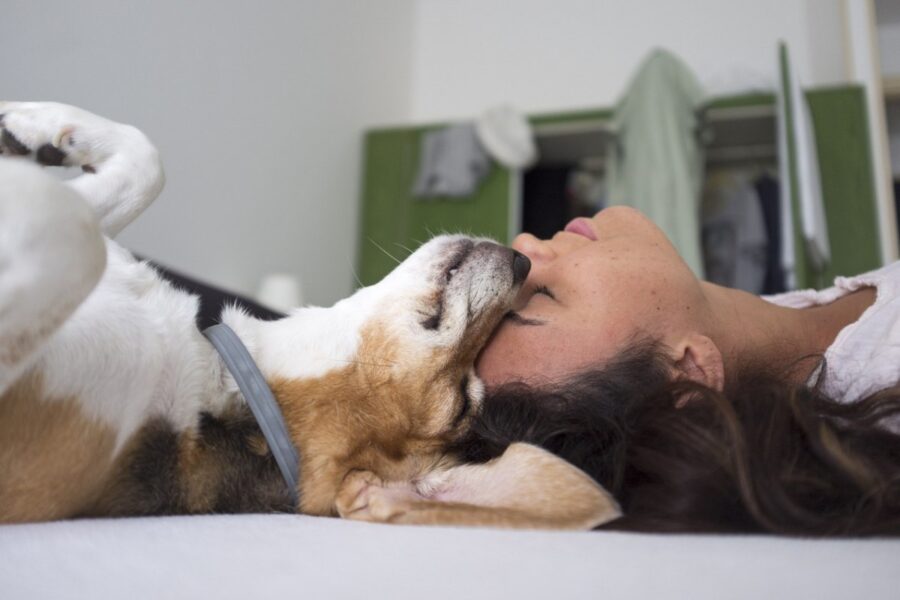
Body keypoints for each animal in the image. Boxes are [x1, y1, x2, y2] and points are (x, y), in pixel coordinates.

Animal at [0, 101, 620, 528]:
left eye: (465, 401)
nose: (523, 261)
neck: (231, 377)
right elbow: (145, 163)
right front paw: (34, 126)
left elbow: (73, 228)